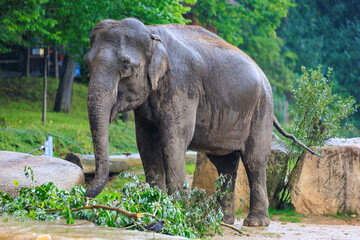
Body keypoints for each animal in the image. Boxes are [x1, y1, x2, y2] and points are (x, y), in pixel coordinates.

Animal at [84, 18, 318, 227]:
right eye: (86, 63)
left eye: (125, 66)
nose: (85, 195)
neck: (152, 33)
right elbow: (145, 144)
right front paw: (152, 206)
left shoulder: (182, 85)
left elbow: (174, 140)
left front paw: (175, 215)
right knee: (225, 165)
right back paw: (223, 220)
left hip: (262, 109)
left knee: (254, 160)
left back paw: (255, 223)